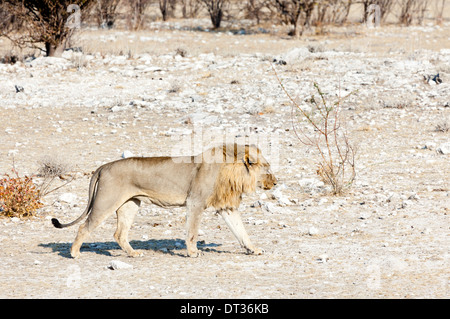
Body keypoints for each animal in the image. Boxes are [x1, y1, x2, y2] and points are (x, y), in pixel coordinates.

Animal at [52, 145, 278, 260]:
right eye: (267, 168)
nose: (276, 182)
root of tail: (104, 166)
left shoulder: (226, 207)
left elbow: (241, 232)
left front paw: (253, 249)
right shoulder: (195, 202)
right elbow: (192, 231)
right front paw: (193, 252)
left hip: (130, 204)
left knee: (119, 233)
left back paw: (134, 253)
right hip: (106, 202)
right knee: (84, 227)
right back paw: (74, 253)